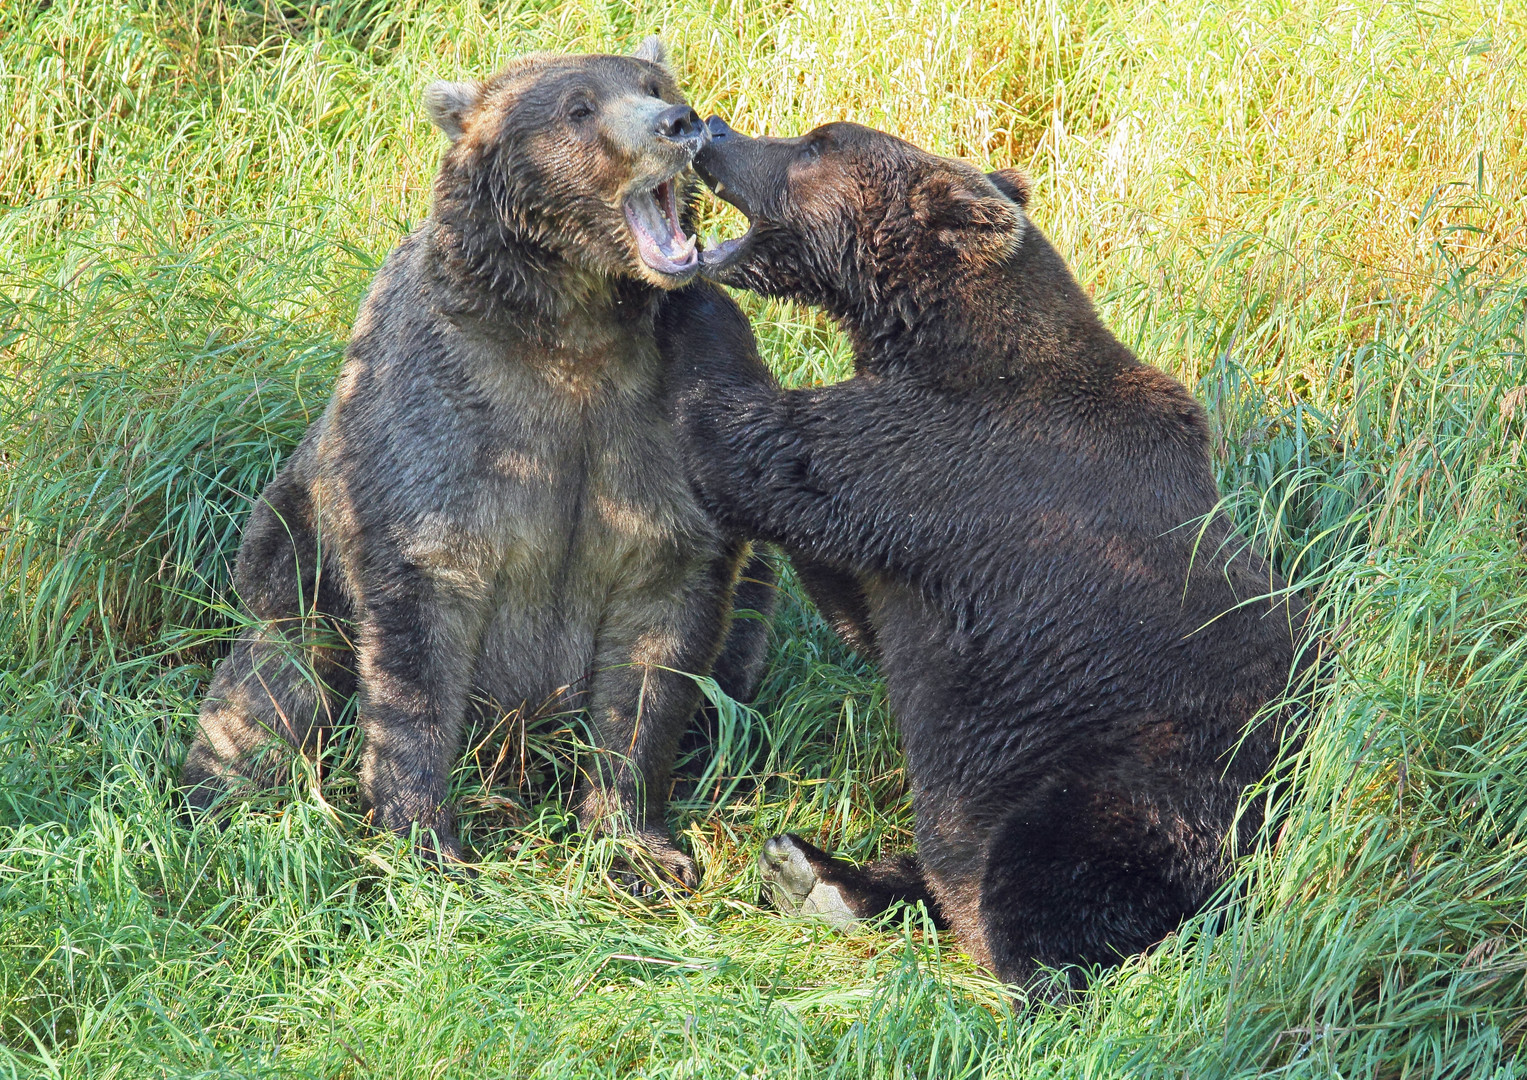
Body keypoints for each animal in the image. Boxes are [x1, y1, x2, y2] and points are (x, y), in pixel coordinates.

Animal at [180, 42, 775, 885]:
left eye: (655, 84)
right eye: (578, 107)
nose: (678, 124)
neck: (577, 328)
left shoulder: (680, 410)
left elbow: (656, 654)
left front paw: (639, 846)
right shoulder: (439, 416)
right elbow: (417, 638)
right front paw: (424, 840)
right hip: (290, 552)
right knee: (274, 679)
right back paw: (223, 798)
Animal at [656, 118, 1313, 995]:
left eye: (815, 144)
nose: (710, 129)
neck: (933, 336)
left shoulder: (941, 456)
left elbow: (759, 447)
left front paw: (692, 324)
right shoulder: (904, 540)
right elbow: (854, 604)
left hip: (1146, 772)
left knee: (1057, 873)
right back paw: (815, 872)